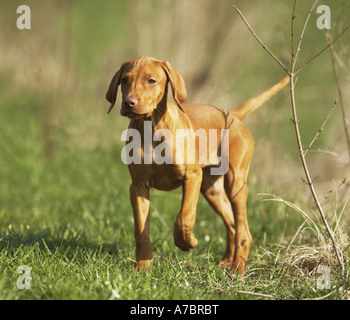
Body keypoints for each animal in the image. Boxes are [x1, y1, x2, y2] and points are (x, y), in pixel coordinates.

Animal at [106, 56, 290, 274]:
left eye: (151, 81)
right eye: (124, 80)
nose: (129, 102)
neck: (151, 127)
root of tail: (233, 115)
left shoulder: (192, 176)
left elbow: (184, 215)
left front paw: (186, 242)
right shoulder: (138, 186)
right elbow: (141, 230)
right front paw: (143, 268)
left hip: (235, 183)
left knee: (243, 231)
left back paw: (237, 269)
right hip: (211, 189)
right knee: (232, 224)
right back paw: (226, 261)